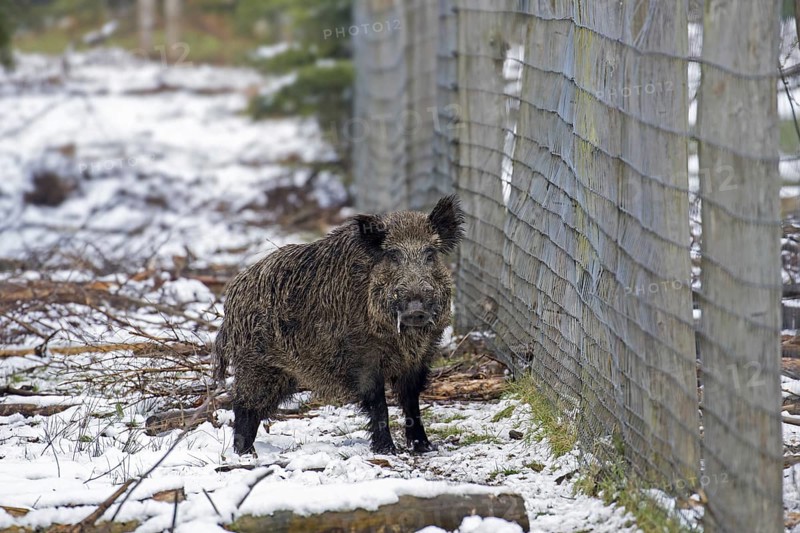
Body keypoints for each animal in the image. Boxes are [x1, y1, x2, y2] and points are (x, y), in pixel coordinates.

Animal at [214, 195, 464, 455]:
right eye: (393, 255)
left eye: (430, 254)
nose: (416, 309)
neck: (403, 340)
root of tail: (231, 299)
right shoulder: (363, 356)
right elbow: (378, 403)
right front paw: (386, 450)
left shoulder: (421, 356)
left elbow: (411, 401)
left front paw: (424, 447)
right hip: (257, 364)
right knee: (243, 406)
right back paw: (245, 454)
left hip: (281, 374)